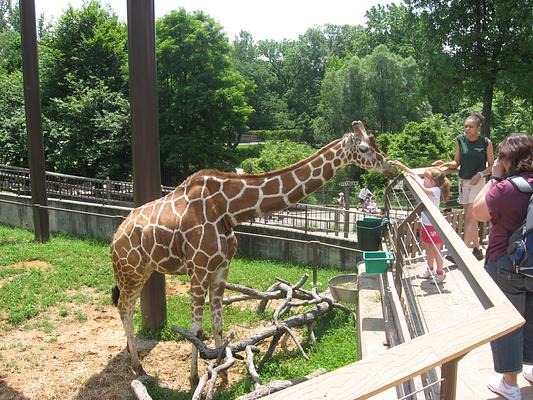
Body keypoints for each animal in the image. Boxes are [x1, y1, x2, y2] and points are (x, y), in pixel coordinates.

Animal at [111, 121, 394, 382]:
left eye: (375, 142)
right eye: (364, 148)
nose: (390, 165)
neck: (227, 209)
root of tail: (115, 237)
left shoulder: (221, 268)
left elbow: (218, 321)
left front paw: (222, 373)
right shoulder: (199, 269)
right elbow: (195, 327)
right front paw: (193, 378)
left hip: (143, 271)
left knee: (127, 306)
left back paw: (134, 359)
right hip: (131, 271)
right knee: (124, 307)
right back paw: (139, 368)